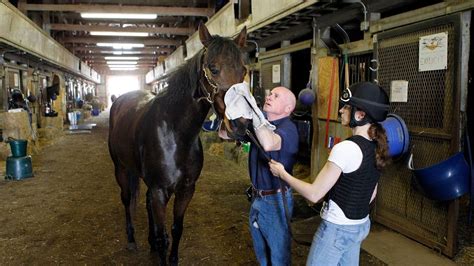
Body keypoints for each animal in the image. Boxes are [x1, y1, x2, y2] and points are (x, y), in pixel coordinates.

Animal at [107, 23, 248, 266]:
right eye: (213, 68)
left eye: (243, 70)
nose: (240, 123)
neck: (175, 133)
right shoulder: (160, 190)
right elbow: (164, 236)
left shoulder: (185, 190)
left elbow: (176, 229)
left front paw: (170, 258)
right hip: (121, 169)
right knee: (127, 200)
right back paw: (132, 240)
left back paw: (150, 243)